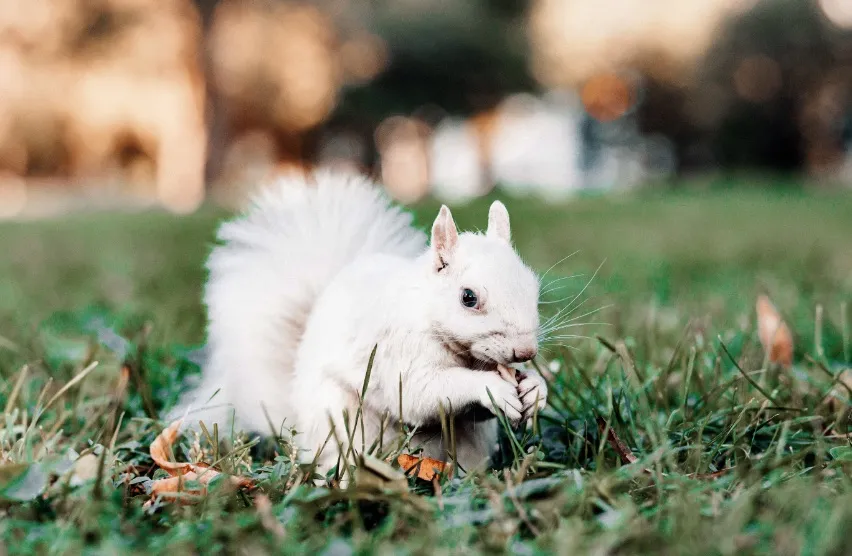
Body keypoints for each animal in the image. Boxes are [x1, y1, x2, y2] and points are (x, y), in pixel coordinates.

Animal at [170, 170, 548, 478]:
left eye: (533, 285)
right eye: (468, 297)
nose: (525, 351)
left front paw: (535, 389)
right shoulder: (397, 354)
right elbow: (421, 394)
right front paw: (493, 388)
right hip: (345, 426)